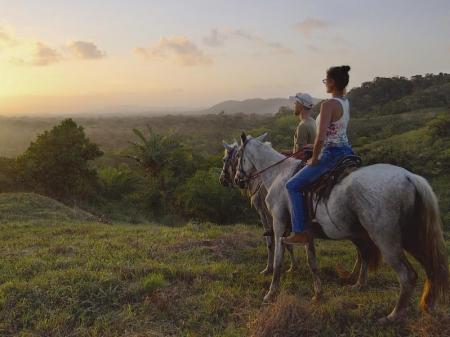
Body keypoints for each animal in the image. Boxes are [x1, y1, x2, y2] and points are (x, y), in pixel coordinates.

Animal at [220, 140, 300, 274]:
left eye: (225, 159)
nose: (222, 180)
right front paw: (292, 265)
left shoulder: (265, 213)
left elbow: (272, 240)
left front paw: (270, 268)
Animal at [234, 133, 448, 322]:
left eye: (237, 157)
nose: (237, 180)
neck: (279, 175)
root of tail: (410, 177)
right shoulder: (305, 233)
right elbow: (312, 262)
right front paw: (318, 294)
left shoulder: (278, 224)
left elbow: (279, 260)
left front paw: (271, 294)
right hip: (414, 238)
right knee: (432, 270)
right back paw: (427, 305)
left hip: (387, 241)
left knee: (407, 276)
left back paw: (393, 316)